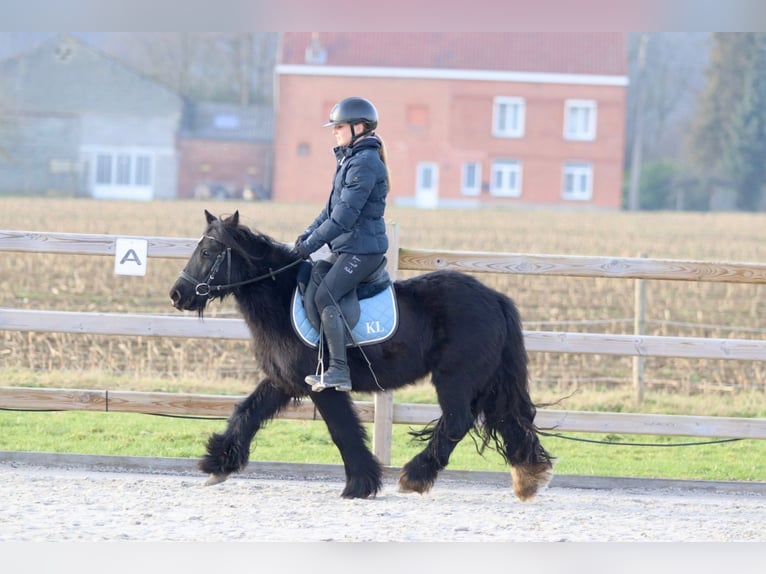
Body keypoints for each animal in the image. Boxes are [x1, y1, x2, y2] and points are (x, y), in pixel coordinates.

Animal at [170, 213, 552, 504]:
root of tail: (495, 298)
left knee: (458, 422)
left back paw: (415, 476)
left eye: (208, 251)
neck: (280, 298)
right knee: (507, 419)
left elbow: (343, 431)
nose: (177, 294)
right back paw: (528, 478)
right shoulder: (282, 380)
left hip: (455, 377)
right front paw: (218, 464)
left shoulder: (324, 386)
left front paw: (360, 485)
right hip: (487, 380)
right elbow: (246, 414)